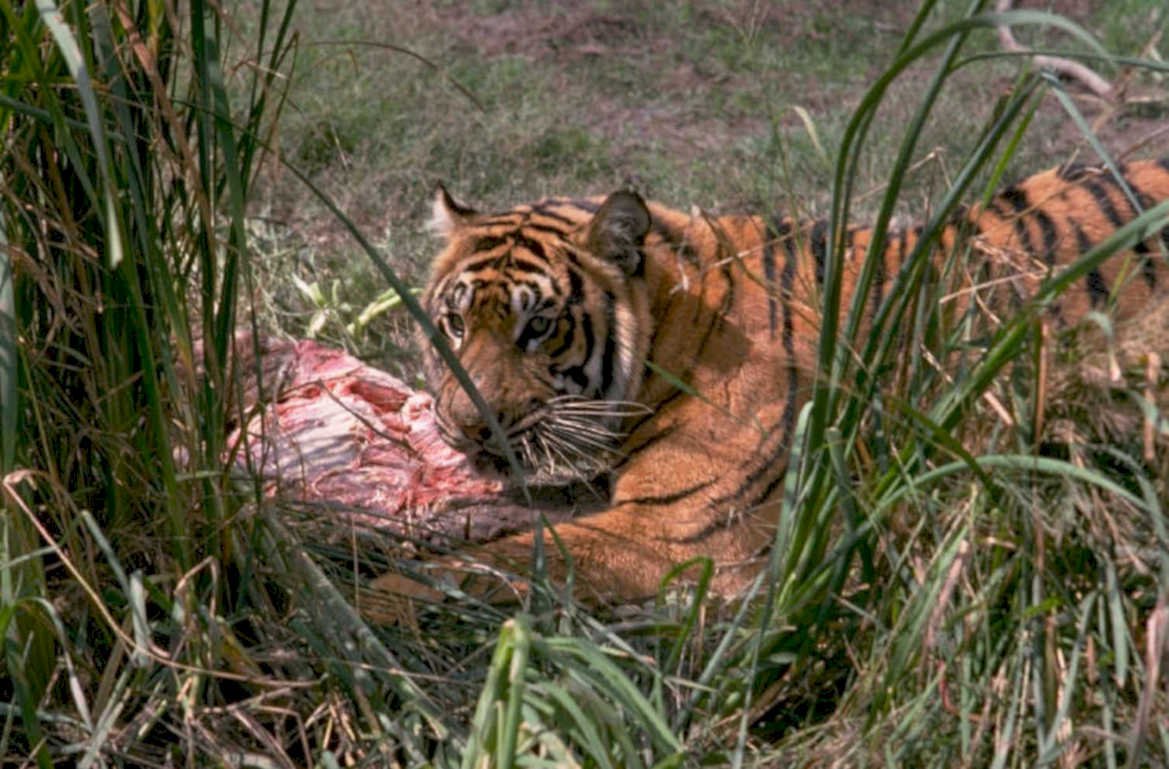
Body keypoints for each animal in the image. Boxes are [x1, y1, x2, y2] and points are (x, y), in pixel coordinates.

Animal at [367, 159, 1169, 614]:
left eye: (536, 327)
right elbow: (515, 513)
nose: (467, 427)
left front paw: (376, 599)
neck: (672, 333)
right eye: (454, 324)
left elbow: (501, 561)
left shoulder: (677, 533)